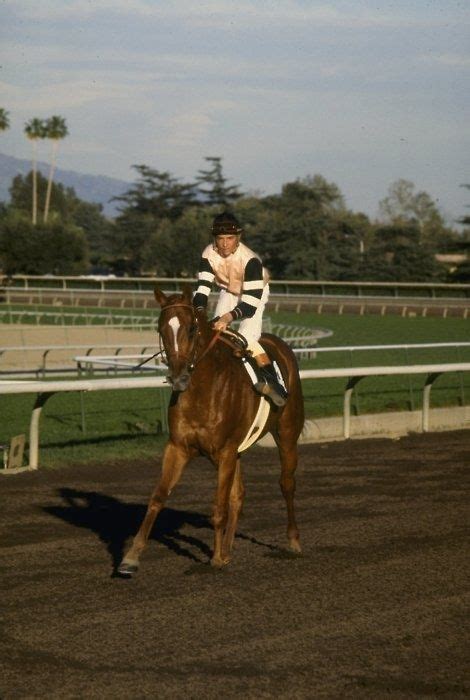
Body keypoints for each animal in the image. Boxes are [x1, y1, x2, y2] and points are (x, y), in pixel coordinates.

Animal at [118, 286, 304, 576]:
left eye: (192, 328)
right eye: (161, 328)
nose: (179, 377)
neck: (203, 390)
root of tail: (280, 345)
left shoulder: (225, 451)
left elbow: (219, 507)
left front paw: (215, 558)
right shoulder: (179, 447)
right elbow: (157, 498)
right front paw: (131, 557)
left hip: (287, 434)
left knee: (286, 484)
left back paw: (293, 541)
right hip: (238, 450)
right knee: (238, 495)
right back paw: (228, 549)